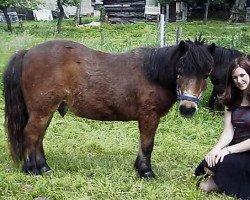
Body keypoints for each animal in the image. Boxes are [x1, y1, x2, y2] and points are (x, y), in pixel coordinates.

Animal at [2, 39, 215, 178]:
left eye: (206, 75)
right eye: (180, 71)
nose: (187, 108)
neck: (152, 74)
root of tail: (27, 52)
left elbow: (142, 144)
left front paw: (139, 168)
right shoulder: (149, 116)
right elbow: (147, 145)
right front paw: (146, 172)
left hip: (45, 112)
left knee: (38, 137)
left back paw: (43, 167)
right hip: (42, 111)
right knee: (30, 135)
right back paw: (31, 169)